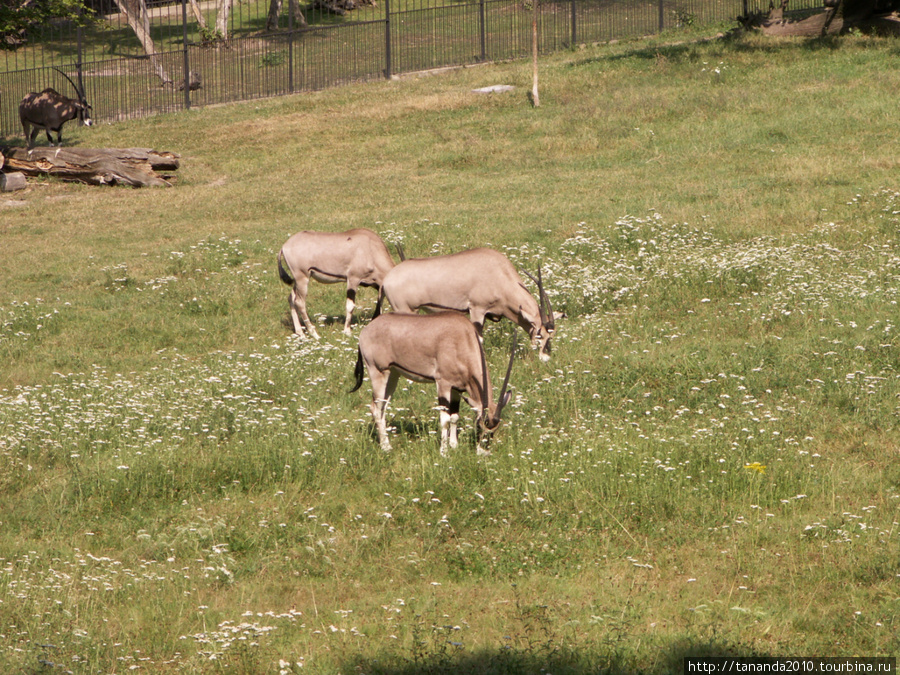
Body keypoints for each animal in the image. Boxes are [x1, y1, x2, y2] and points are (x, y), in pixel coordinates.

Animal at [354, 312, 520, 454]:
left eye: (494, 430)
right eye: (479, 425)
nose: (483, 453)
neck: (463, 339)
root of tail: (366, 330)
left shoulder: (456, 389)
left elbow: (454, 416)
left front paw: (454, 445)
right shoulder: (443, 384)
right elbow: (445, 419)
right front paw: (444, 452)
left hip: (393, 374)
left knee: (382, 407)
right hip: (378, 372)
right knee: (376, 408)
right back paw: (386, 447)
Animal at [370, 248, 556, 362]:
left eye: (550, 337)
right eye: (539, 335)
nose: (546, 358)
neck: (500, 275)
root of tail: (387, 280)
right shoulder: (477, 309)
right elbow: (479, 339)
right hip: (403, 309)